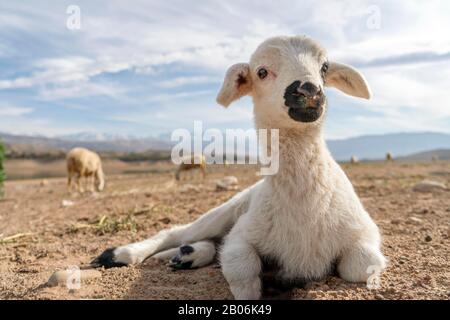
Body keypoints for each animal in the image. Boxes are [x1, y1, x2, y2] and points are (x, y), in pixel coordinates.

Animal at [92, 35, 386, 300]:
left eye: (324, 67)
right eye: (261, 72)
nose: (309, 90)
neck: (306, 206)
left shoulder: (365, 232)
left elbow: (363, 264)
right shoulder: (242, 235)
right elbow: (241, 269)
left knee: (207, 242)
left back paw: (188, 255)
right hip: (225, 210)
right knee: (176, 232)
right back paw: (119, 255)